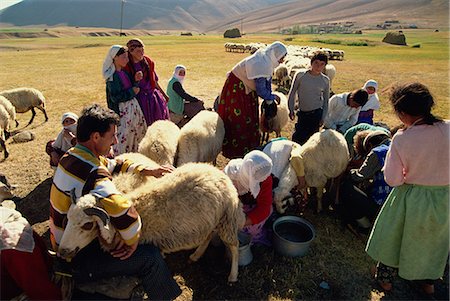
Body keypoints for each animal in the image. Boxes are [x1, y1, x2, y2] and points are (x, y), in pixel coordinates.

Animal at [58, 162, 246, 282]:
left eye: (87, 225)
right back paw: (195, 255)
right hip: (209, 221)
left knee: (234, 245)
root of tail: (219, 173)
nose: (62, 251)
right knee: (208, 235)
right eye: (67, 219)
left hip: (226, 218)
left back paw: (233, 276)